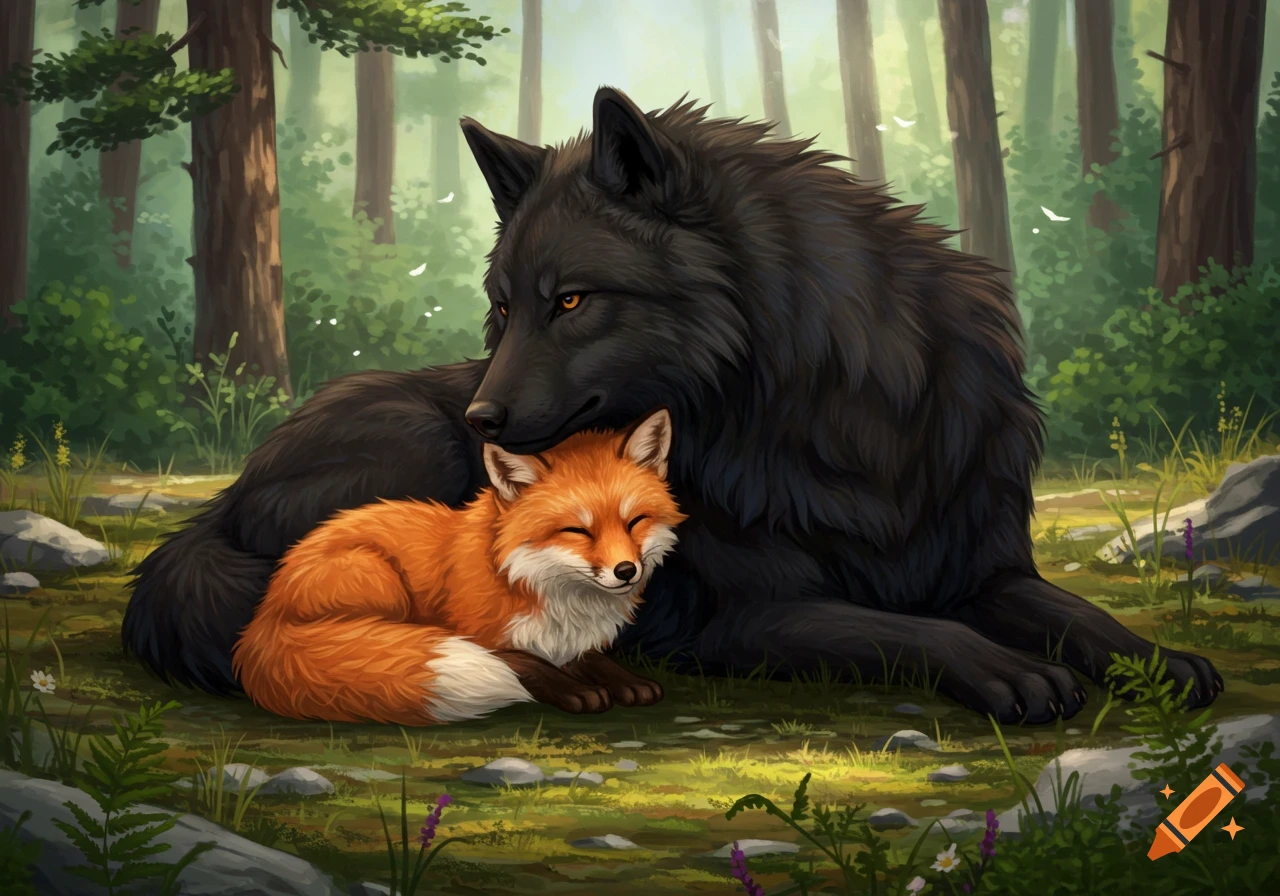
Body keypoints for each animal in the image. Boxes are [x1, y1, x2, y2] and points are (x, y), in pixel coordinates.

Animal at [230, 408, 685, 726]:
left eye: (635, 521)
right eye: (577, 530)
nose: (626, 570)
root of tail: (263, 616)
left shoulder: (569, 640)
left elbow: (588, 659)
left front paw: (627, 681)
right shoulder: (477, 634)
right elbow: (522, 660)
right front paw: (572, 689)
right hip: (376, 574)